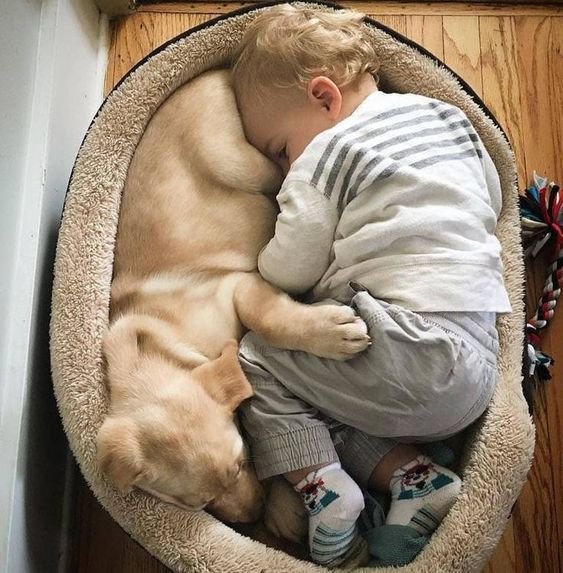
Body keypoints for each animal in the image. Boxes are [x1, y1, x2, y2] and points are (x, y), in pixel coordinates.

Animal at [98, 69, 370, 520]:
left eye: (240, 462)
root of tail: (216, 73)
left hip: (245, 162)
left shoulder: (237, 286)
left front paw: (333, 334)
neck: (173, 346)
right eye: (200, 505)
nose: (253, 518)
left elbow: (269, 319)